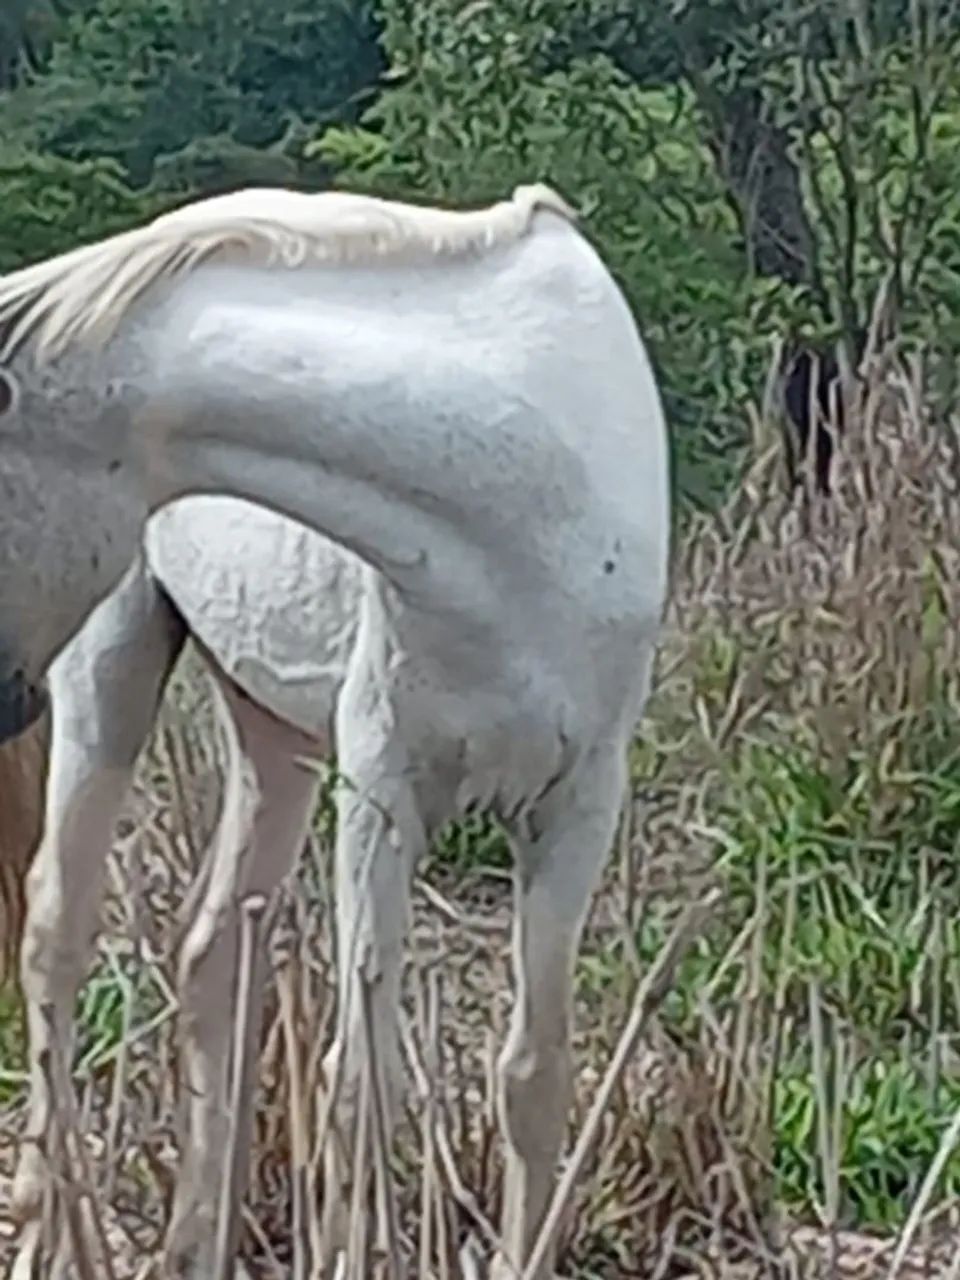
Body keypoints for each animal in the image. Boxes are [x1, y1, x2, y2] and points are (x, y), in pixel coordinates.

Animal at [0, 182, 671, 1278]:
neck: (523, 512)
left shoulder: (578, 806)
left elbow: (534, 1074)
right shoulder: (383, 795)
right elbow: (363, 1082)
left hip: (272, 735)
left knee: (213, 957)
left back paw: (199, 1242)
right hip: (111, 668)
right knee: (57, 933)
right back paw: (46, 1232)